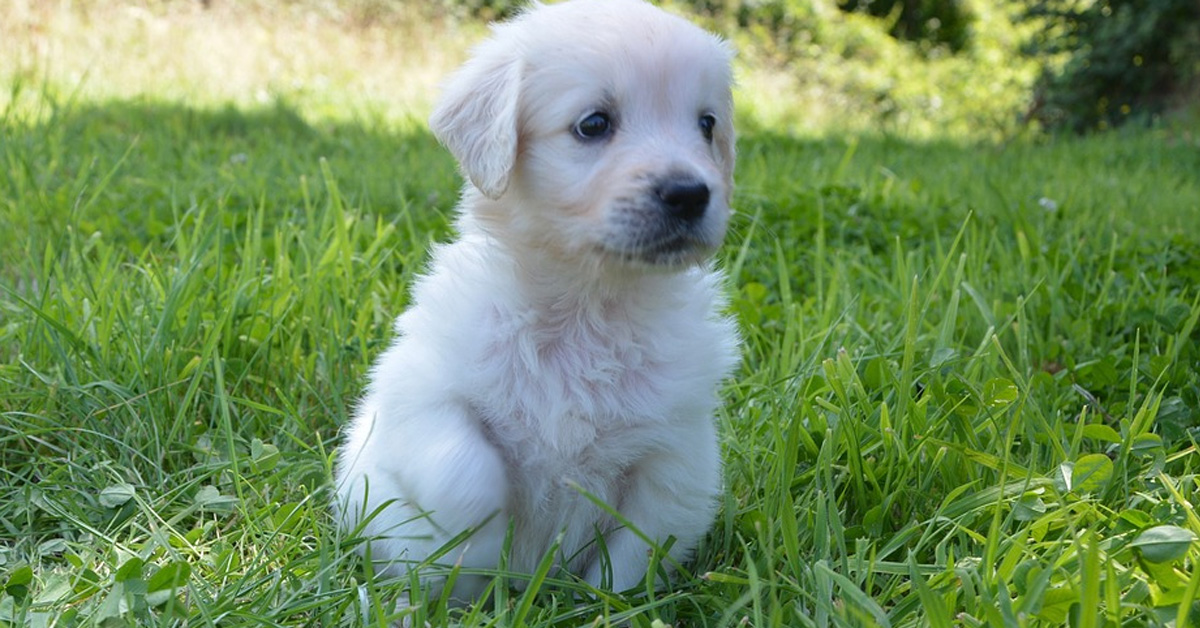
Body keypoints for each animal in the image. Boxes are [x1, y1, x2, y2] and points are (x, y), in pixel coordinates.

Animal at [331, 0, 739, 602]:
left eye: (706, 125)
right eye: (593, 124)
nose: (690, 194)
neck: (586, 308)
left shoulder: (677, 451)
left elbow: (640, 546)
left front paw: (607, 604)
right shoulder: (419, 394)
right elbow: (468, 474)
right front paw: (476, 556)